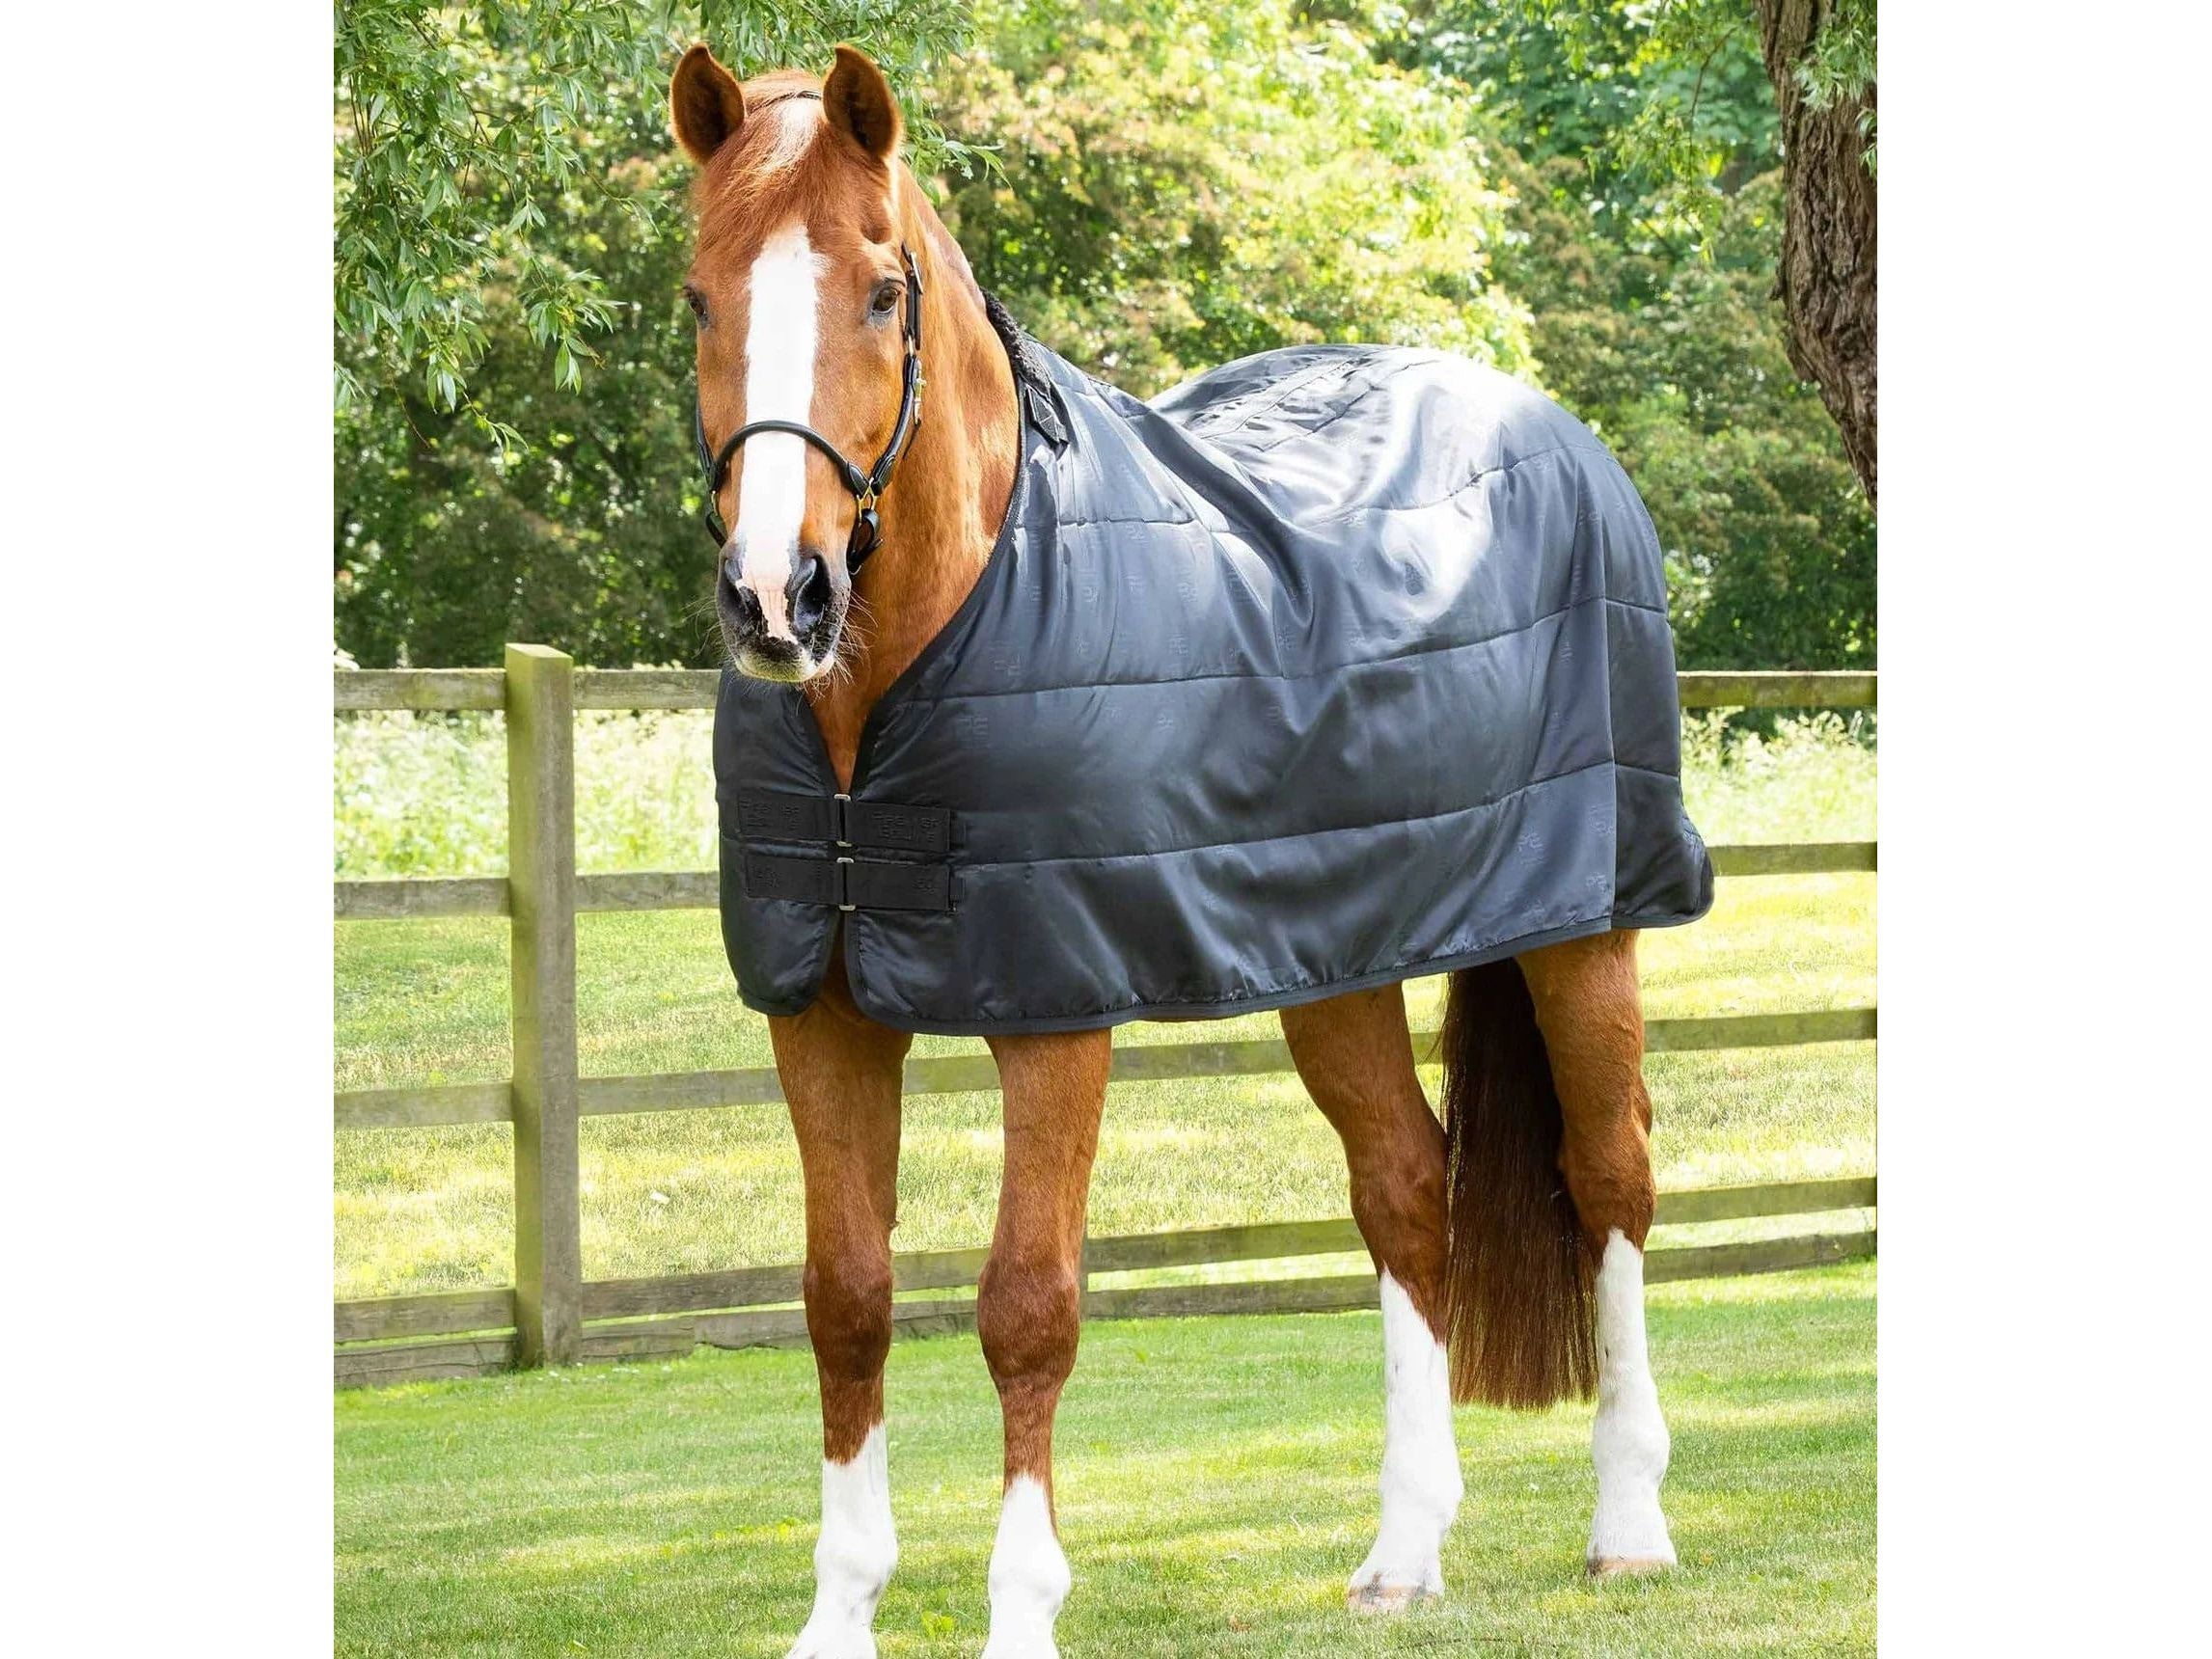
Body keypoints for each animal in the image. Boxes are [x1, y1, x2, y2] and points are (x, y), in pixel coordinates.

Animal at [670, 43, 1688, 1659]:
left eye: (883, 291)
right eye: (703, 297)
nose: (780, 597)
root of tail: (1554, 433)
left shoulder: (1053, 1014)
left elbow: (1026, 1305)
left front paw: (1023, 1613)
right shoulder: (818, 1012)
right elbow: (846, 1300)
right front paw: (838, 1617)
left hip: (1584, 924)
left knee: (1609, 1179)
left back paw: (1629, 1527)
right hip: (1337, 955)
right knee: (1407, 1192)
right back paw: (1403, 1551)